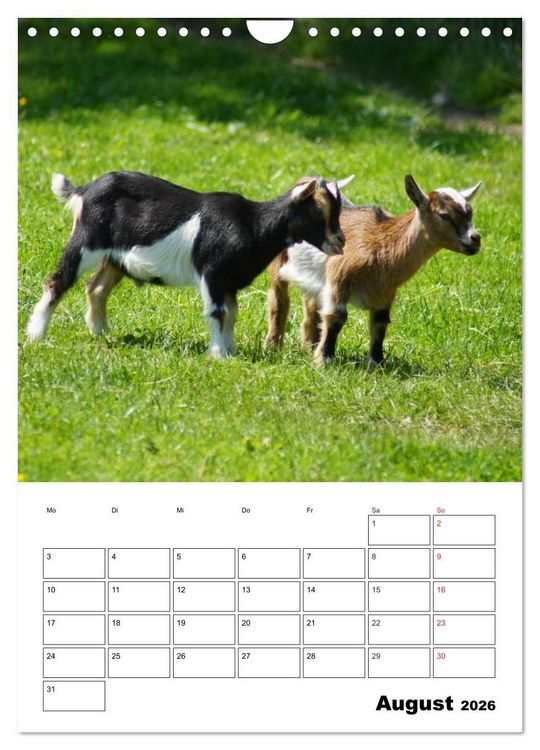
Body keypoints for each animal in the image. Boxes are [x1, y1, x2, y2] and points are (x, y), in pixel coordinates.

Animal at [27, 171, 346, 358]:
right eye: (317, 211)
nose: (340, 240)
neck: (254, 224)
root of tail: (83, 190)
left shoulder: (229, 281)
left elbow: (232, 314)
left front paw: (230, 350)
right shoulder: (213, 273)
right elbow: (218, 312)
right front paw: (218, 355)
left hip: (114, 258)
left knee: (96, 288)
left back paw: (100, 331)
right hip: (85, 243)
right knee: (58, 280)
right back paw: (36, 334)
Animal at [265, 174, 482, 369]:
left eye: (470, 212)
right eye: (444, 215)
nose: (475, 239)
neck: (382, 243)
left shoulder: (386, 292)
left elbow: (379, 324)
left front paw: (377, 365)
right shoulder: (339, 279)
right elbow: (336, 317)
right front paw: (324, 362)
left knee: (311, 305)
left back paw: (309, 345)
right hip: (279, 262)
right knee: (279, 299)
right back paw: (273, 347)